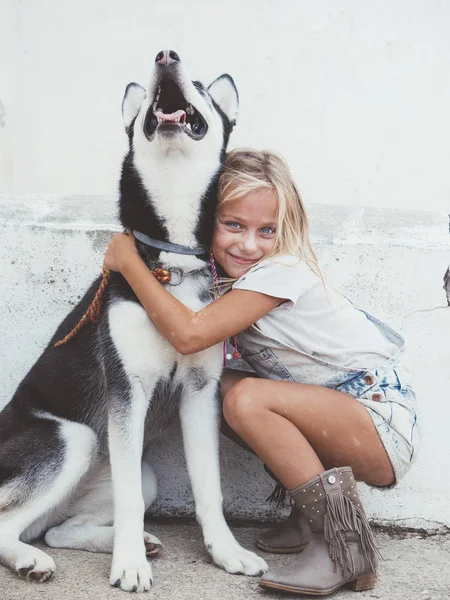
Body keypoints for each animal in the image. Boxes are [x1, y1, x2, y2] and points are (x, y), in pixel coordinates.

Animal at [0, 50, 268, 592]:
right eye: (148, 88)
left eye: (201, 85)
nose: (166, 55)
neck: (172, 261)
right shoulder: (127, 391)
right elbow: (127, 502)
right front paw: (128, 566)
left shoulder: (200, 392)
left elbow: (209, 489)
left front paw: (226, 552)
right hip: (75, 438)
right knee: (8, 526)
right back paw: (31, 559)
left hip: (141, 473)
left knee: (56, 529)